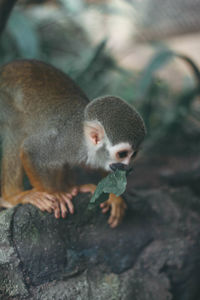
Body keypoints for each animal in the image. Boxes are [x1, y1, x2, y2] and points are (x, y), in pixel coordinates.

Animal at [0, 59, 145, 227]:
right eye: (122, 154)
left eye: (133, 155)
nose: (127, 167)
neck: (83, 141)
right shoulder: (65, 142)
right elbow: (30, 150)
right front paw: (54, 193)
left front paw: (114, 197)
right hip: (5, 102)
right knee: (15, 131)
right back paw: (13, 197)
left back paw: (70, 187)